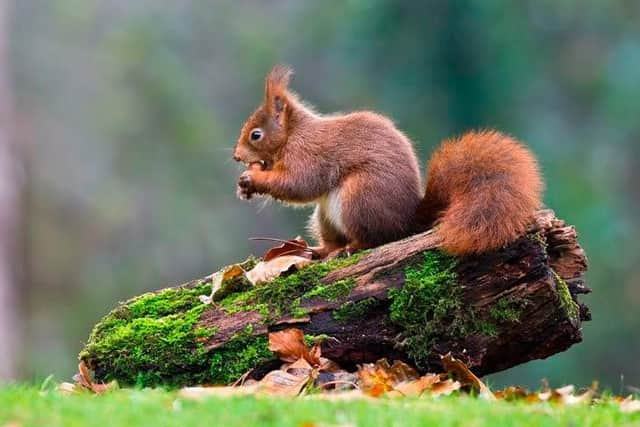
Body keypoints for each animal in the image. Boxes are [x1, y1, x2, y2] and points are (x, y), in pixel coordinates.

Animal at [232, 64, 544, 258]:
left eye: (256, 135)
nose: (236, 156)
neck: (293, 133)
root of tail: (406, 222)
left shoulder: (308, 154)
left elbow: (299, 184)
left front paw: (254, 179)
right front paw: (243, 185)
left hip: (359, 198)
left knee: (373, 238)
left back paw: (350, 248)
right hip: (325, 217)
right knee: (333, 239)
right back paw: (322, 251)